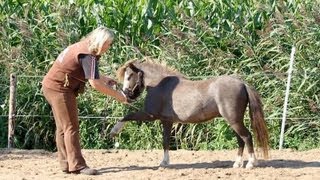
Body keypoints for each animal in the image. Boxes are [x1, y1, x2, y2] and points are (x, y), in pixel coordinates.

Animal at [111, 59, 268, 169]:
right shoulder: (166, 121)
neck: (159, 85)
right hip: (234, 121)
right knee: (241, 139)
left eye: (129, 76)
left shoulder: (150, 115)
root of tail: (241, 83)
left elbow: (129, 115)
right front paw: (164, 162)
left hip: (234, 120)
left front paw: (114, 130)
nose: (126, 95)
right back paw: (237, 164)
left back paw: (251, 163)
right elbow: (165, 141)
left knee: (247, 137)